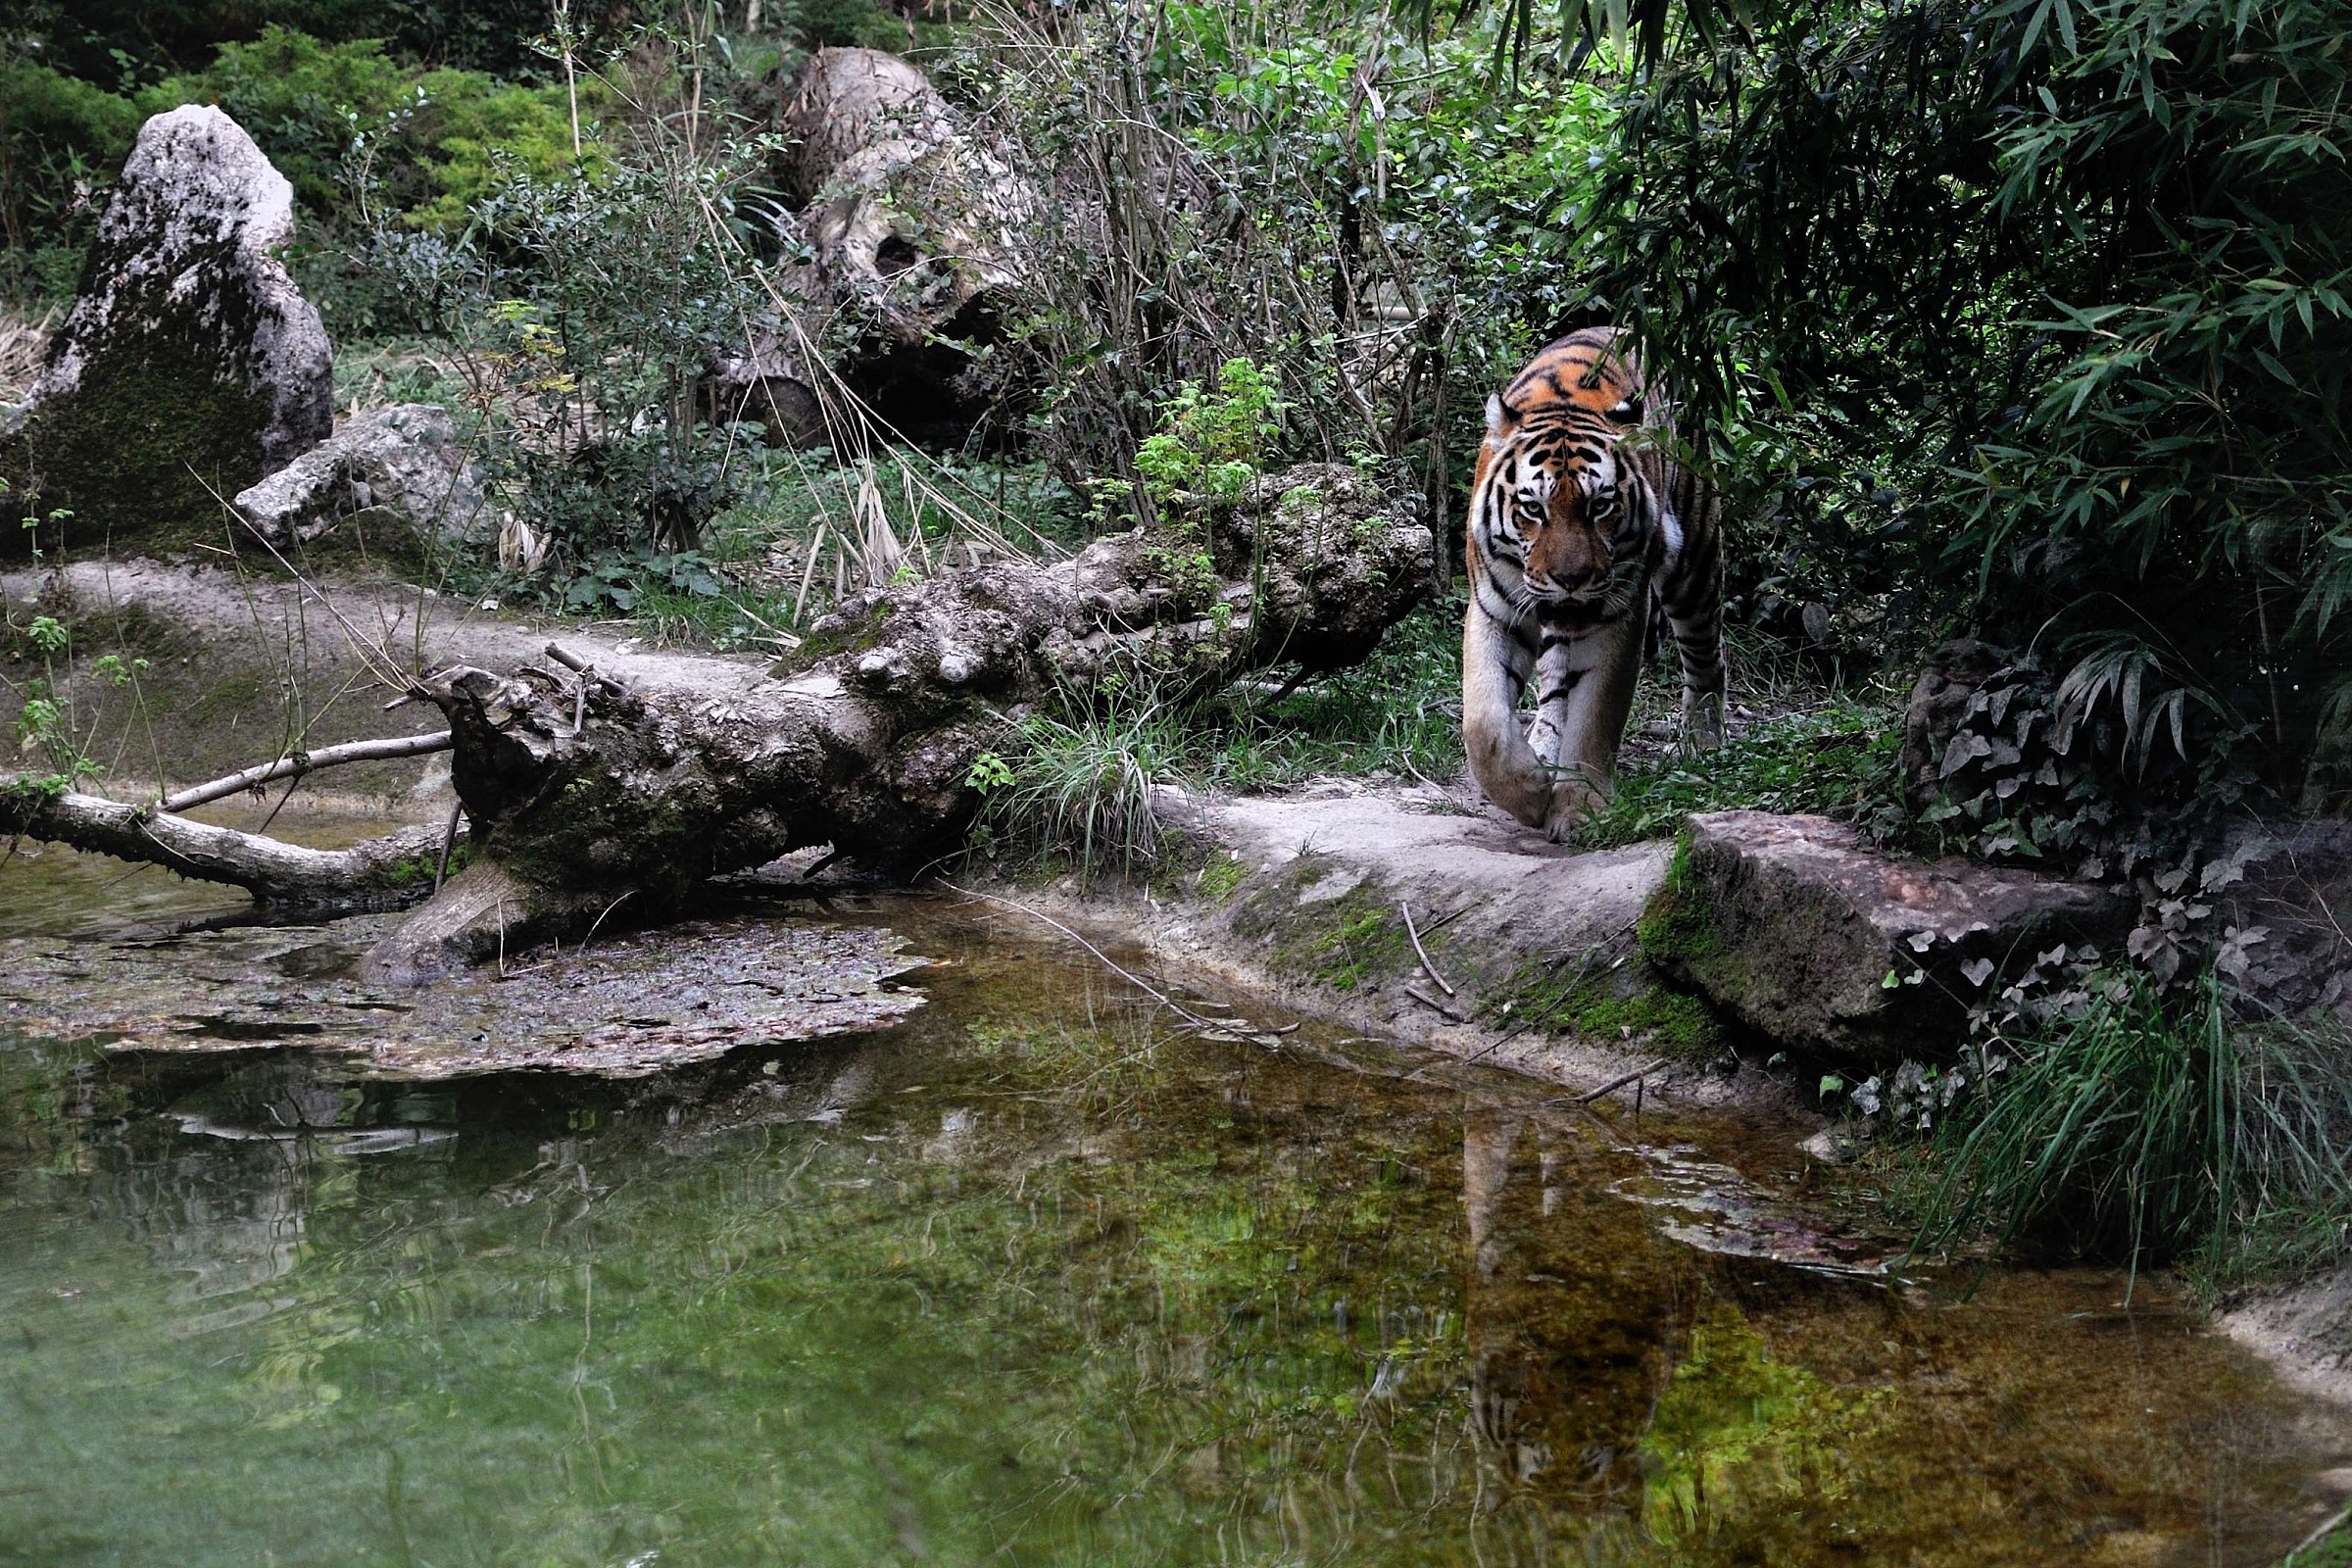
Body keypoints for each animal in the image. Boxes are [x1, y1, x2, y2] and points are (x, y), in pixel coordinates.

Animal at [1462, 327, 1726, 841]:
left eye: (1600, 506)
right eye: (1533, 508)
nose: (1572, 579)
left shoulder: (1620, 616)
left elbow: (1595, 717)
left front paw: (1579, 808)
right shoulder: (1493, 609)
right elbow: (1484, 724)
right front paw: (1530, 791)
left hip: (1695, 561)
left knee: (1707, 659)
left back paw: (1703, 745)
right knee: (1555, 685)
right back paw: (1544, 747)